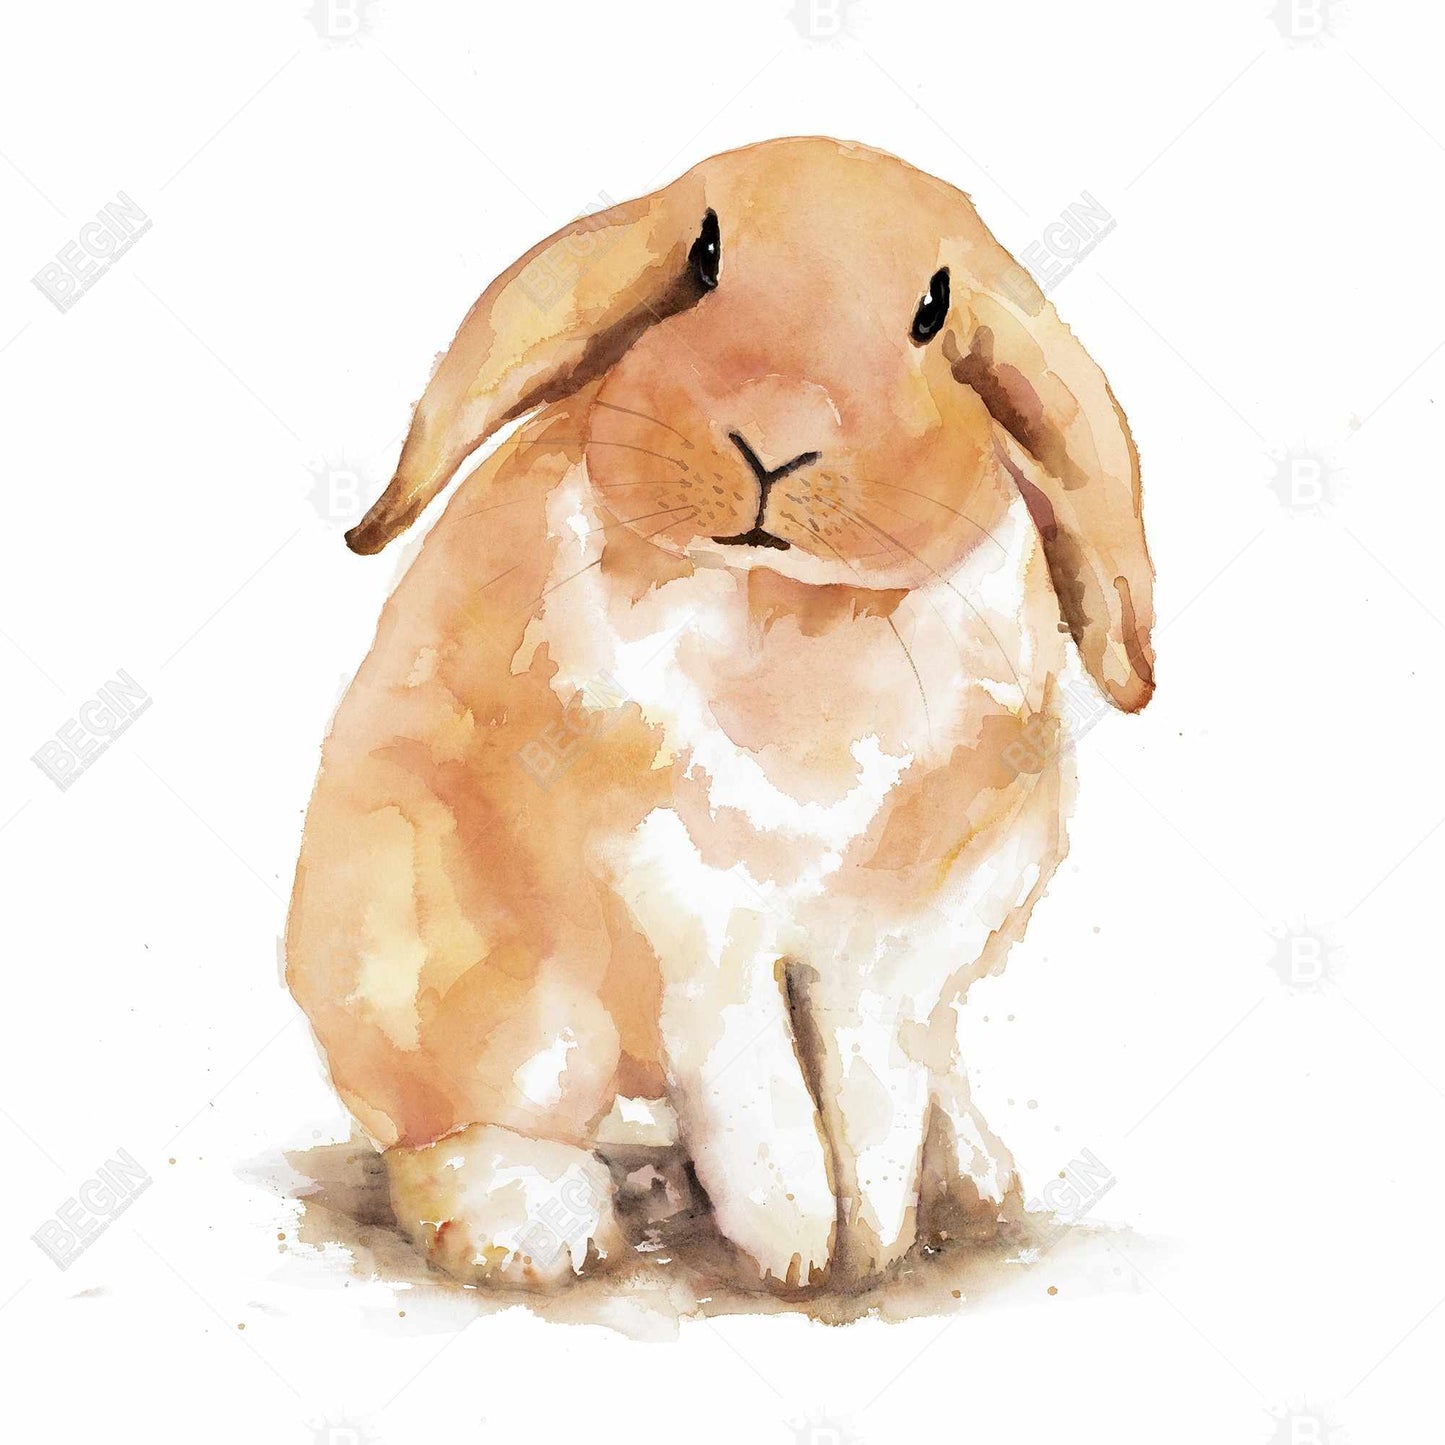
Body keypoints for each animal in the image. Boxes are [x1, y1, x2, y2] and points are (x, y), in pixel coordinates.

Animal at [285, 136, 1155, 1293]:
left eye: (933, 310)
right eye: (702, 259)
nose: (774, 442)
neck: (791, 607)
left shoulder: (901, 941)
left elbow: (867, 1090)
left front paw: (871, 1244)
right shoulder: (686, 909)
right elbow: (760, 1088)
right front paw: (797, 1246)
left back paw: (968, 1173)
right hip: (455, 966)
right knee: (463, 1116)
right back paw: (532, 1224)